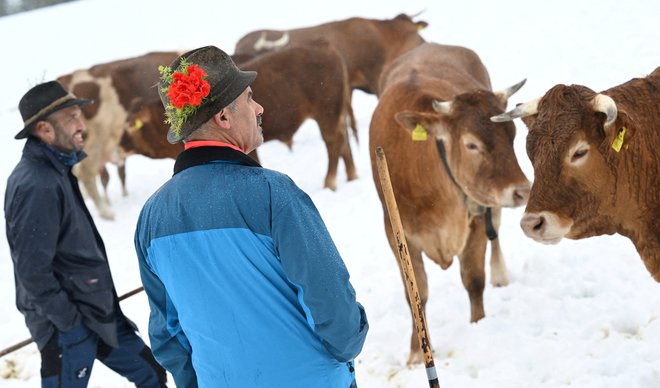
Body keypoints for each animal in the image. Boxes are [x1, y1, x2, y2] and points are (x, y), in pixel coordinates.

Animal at [372, 42, 532, 364]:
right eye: (471, 144)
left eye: (512, 135)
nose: (521, 190)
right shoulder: (395, 231)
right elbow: (416, 292)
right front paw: (416, 353)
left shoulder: (477, 215)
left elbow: (474, 278)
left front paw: (479, 325)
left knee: (496, 233)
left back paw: (500, 273)